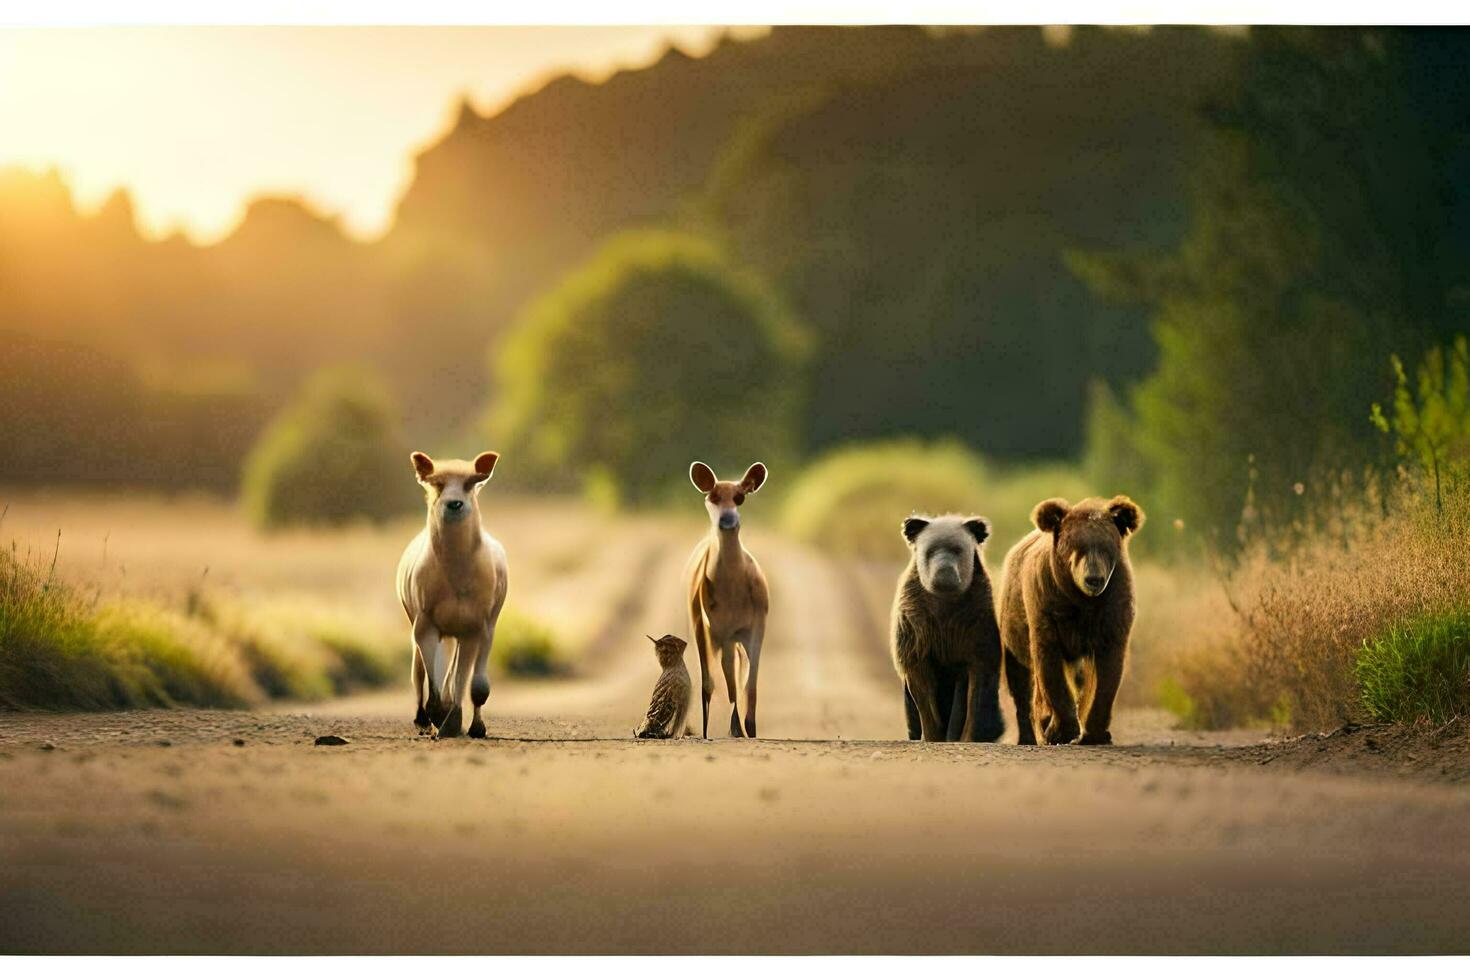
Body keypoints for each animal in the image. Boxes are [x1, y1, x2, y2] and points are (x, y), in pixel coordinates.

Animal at [393, 452, 508, 734]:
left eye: (470, 484)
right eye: (437, 484)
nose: (454, 504)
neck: (457, 574)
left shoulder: (474, 626)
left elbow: (471, 683)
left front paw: (461, 723)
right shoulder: (425, 622)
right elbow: (430, 675)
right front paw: (438, 715)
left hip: (475, 627)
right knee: (419, 671)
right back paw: (423, 721)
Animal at [682, 461, 770, 734]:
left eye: (740, 497)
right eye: (712, 496)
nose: (728, 520)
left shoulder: (757, 622)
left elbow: (750, 684)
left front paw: (749, 728)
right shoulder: (712, 626)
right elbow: (712, 682)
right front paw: (725, 728)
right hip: (701, 622)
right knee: (715, 679)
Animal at [887, 517, 1005, 740]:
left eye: (958, 549)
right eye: (930, 550)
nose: (944, 573)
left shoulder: (974, 637)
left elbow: (971, 699)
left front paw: (964, 737)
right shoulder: (917, 637)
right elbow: (924, 697)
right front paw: (932, 735)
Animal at [999, 493, 1146, 746]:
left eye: (1106, 547)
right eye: (1076, 546)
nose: (1093, 579)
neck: (1081, 599)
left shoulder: (1112, 609)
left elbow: (1108, 672)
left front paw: (1096, 733)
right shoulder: (1047, 607)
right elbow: (1050, 665)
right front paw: (1059, 730)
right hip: (1011, 629)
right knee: (1021, 680)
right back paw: (1030, 733)